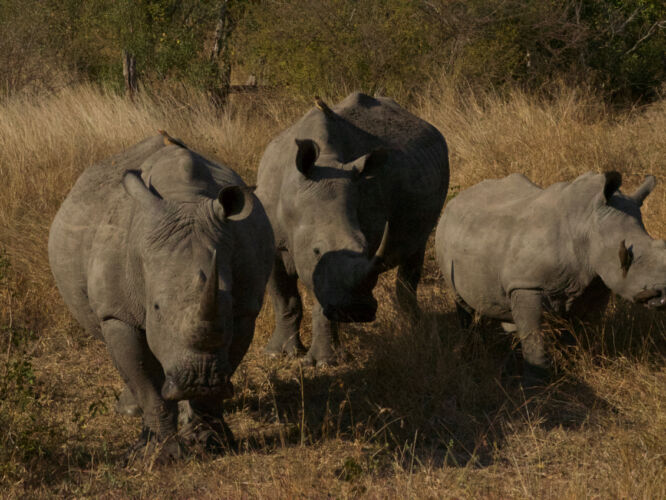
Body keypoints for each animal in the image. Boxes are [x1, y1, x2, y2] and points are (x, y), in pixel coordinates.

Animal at [48, 132, 274, 460]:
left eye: (228, 305)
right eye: (155, 308)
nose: (200, 380)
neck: (185, 199)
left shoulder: (245, 310)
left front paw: (210, 441)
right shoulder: (118, 313)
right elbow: (146, 382)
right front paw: (160, 454)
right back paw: (131, 412)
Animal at [256, 93, 449, 365]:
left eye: (367, 248)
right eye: (316, 250)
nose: (357, 310)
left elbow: (321, 300)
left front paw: (324, 362)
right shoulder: (272, 241)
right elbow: (283, 298)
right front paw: (277, 353)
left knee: (417, 245)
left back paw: (415, 328)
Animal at [435, 171, 665, 384]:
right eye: (626, 256)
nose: (662, 296)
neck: (587, 224)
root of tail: (457, 198)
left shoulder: (595, 285)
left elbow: (580, 330)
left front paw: (573, 365)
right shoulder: (528, 285)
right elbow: (534, 335)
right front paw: (535, 385)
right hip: (445, 237)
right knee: (462, 301)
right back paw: (471, 354)